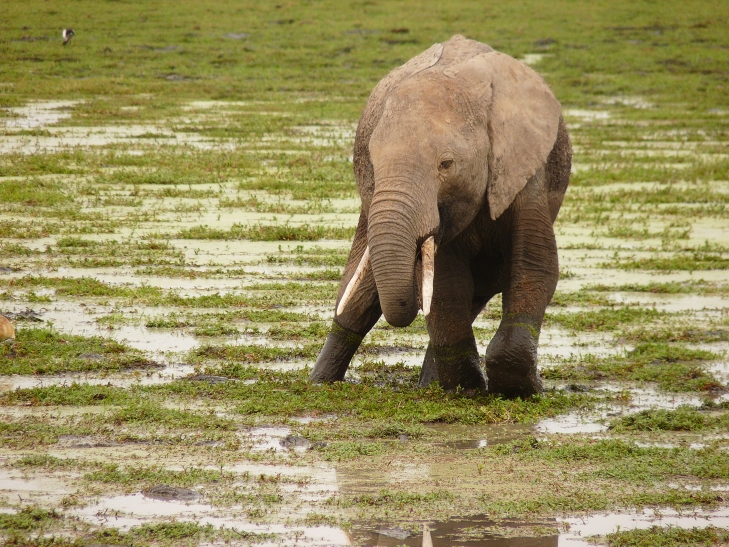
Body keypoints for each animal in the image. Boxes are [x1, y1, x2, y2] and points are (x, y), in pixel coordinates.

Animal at [309, 35, 571, 397]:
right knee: (357, 300)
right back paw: (320, 382)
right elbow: (447, 283)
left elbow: (535, 266)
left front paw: (521, 389)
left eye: (446, 164)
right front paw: (469, 388)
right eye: (372, 162)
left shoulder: (525, 172)